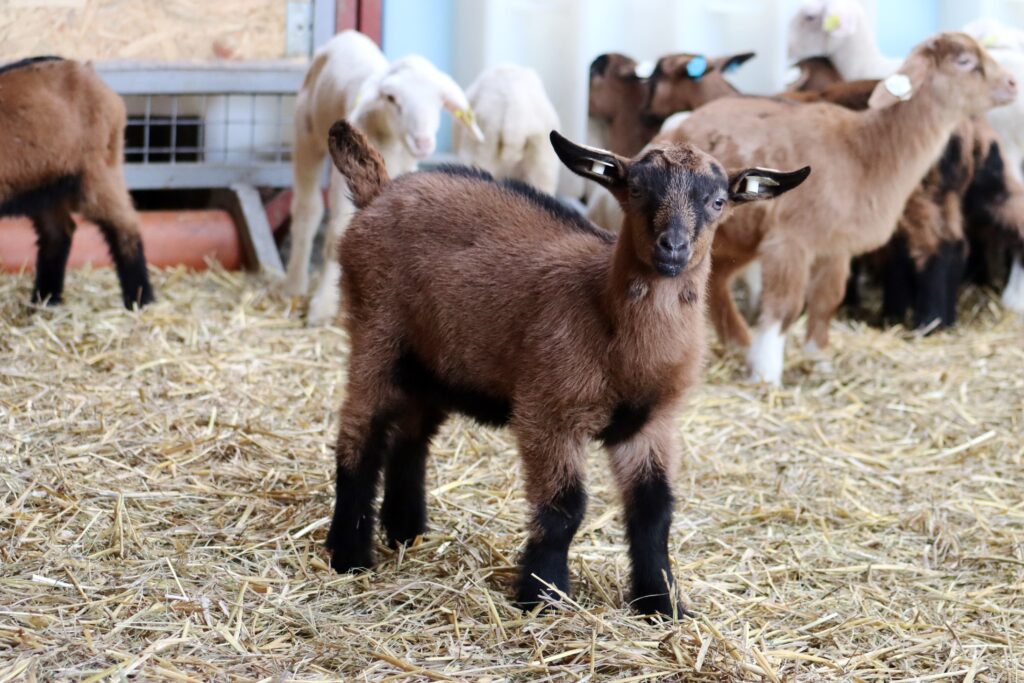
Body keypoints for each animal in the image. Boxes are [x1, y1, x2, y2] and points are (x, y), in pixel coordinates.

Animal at [0, 57, 153, 309]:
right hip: (46, 185)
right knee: (58, 233)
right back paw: (46, 299)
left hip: (98, 170)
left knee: (125, 223)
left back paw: (140, 299)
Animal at [284, 33, 483, 327]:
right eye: (391, 98)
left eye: (440, 102)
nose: (423, 142)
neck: (390, 141)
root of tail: (347, 36)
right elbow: (336, 236)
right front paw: (324, 307)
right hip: (305, 133)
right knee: (307, 211)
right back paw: (294, 285)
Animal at [325, 117, 806, 614]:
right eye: (636, 189)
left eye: (717, 202)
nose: (672, 247)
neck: (608, 320)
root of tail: (379, 192)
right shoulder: (548, 413)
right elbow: (564, 509)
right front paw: (544, 594)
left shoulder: (652, 424)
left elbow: (654, 511)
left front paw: (660, 601)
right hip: (376, 336)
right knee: (358, 438)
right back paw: (349, 554)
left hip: (432, 364)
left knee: (411, 438)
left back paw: (407, 532)